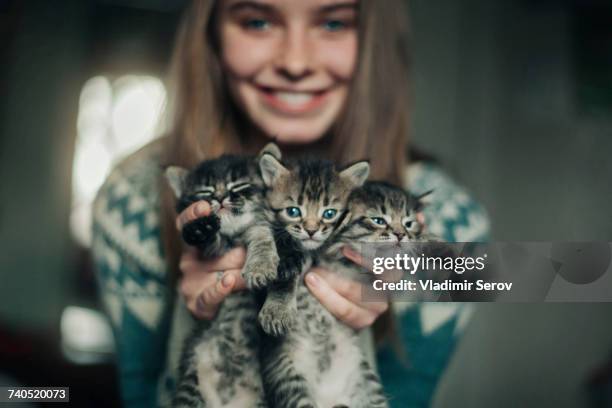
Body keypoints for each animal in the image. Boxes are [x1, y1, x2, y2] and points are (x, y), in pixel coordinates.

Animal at [166, 143, 284, 408]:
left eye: (237, 186)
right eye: (205, 191)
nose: (219, 198)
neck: (233, 236)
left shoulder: (260, 226)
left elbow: (261, 235)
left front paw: (260, 266)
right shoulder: (213, 250)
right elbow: (208, 242)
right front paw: (199, 229)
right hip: (191, 383)